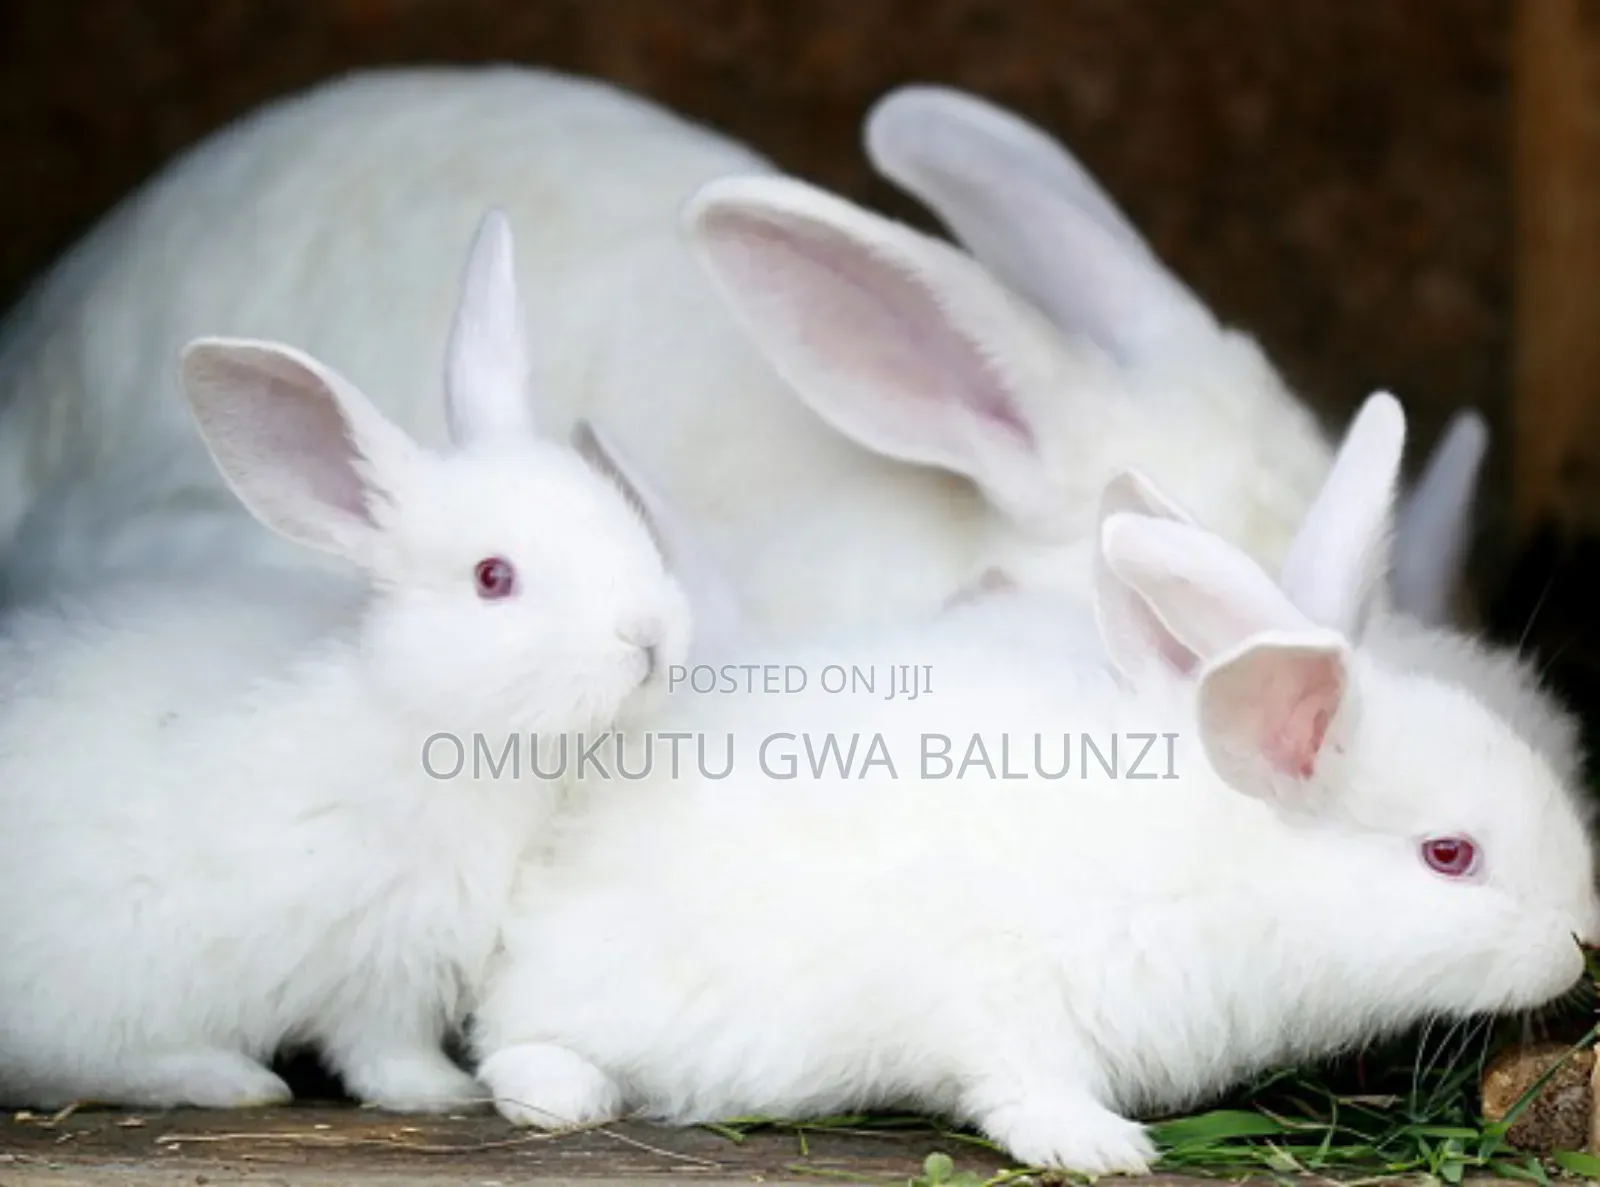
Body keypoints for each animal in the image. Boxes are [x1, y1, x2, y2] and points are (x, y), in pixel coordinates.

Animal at [0, 208, 703, 1113]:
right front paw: (445, 1092)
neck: (429, 713)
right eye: (493, 577)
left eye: (621, 517)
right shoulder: (380, 951)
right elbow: (382, 1049)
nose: (650, 638)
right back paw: (230, 1078)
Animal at [468, 390, 1600, 1176]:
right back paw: (563, 1093)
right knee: (505, 1039)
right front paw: (1099, 1146)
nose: (1583, 935)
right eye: (1449, 855)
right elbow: (1019, 1078)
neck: (1222, 860)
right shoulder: (1005, 983)